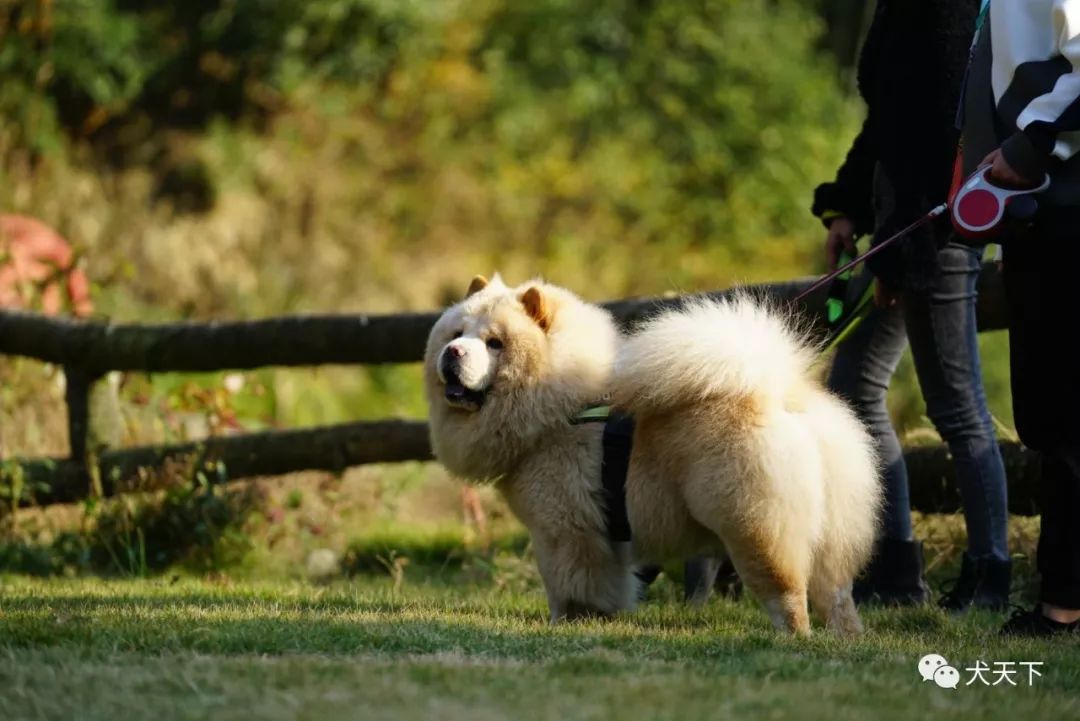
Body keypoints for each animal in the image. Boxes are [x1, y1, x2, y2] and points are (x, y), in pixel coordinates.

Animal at [425, 273, 881, 634]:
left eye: (495, 343)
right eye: (455, 334)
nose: (453, 353)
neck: (557, 408)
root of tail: (777, 396)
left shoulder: (564, 529)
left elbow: (567, 582)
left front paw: (568, 622)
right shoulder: (601, 535)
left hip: (754, 525)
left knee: (786, 591)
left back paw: (792, 637)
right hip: (831, 532)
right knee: (836, 594)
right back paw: (845, 638)